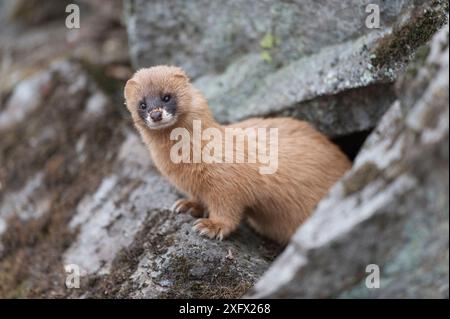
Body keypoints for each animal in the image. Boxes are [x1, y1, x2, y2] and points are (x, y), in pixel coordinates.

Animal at [123, 65, 352, 245]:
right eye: (142, 104)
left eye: (167, 96)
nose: (155, 114)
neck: (186, 163)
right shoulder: (191, 183)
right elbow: (198, 198)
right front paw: (187, 206)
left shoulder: (226, 181)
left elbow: (228, 208)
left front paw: (211, 226)